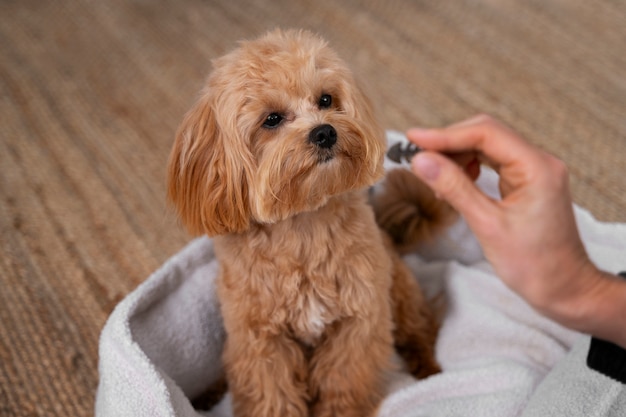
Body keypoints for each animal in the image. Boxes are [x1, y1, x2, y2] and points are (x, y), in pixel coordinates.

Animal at [168, 28, 446, 416]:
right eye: (271, 119)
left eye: (326, 99)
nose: (324, 132)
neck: (302, 225)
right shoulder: (261, 341)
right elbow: (272, 396)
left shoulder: (357, 323)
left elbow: (343, 385)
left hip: (400, 294)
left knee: (422, 327)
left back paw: (428, 370)